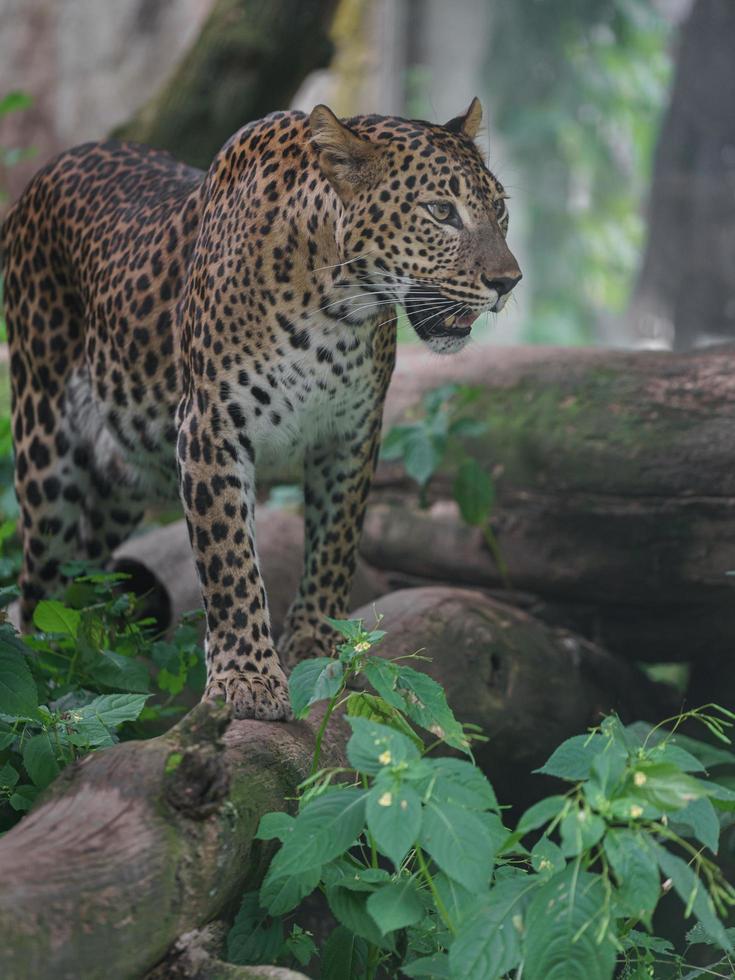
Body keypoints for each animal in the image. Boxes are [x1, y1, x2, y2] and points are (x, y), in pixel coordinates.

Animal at [0, 95, 520, 716]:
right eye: (441, 211)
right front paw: (246, 677)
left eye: (500, 210)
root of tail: (52, 168)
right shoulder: (210, 428)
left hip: (122, 480)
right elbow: (230, 560)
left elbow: (334, 547)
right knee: (38, 597)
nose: (509, 282)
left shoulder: (351, 436)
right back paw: (54, 684)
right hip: (47, 457)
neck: (336, 311)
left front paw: (321, 646)